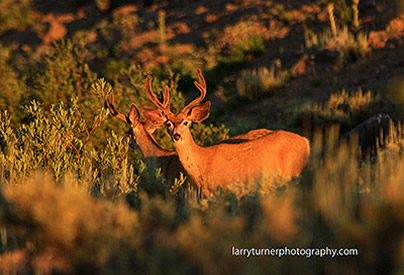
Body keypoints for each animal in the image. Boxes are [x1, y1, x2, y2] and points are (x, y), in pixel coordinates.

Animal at [144, 70, 310, 197]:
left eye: (186, 122)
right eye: (168, 124)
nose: (176, 135)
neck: (202, 164)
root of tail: (306, 141)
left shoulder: (228, 189)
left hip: (293, 172)